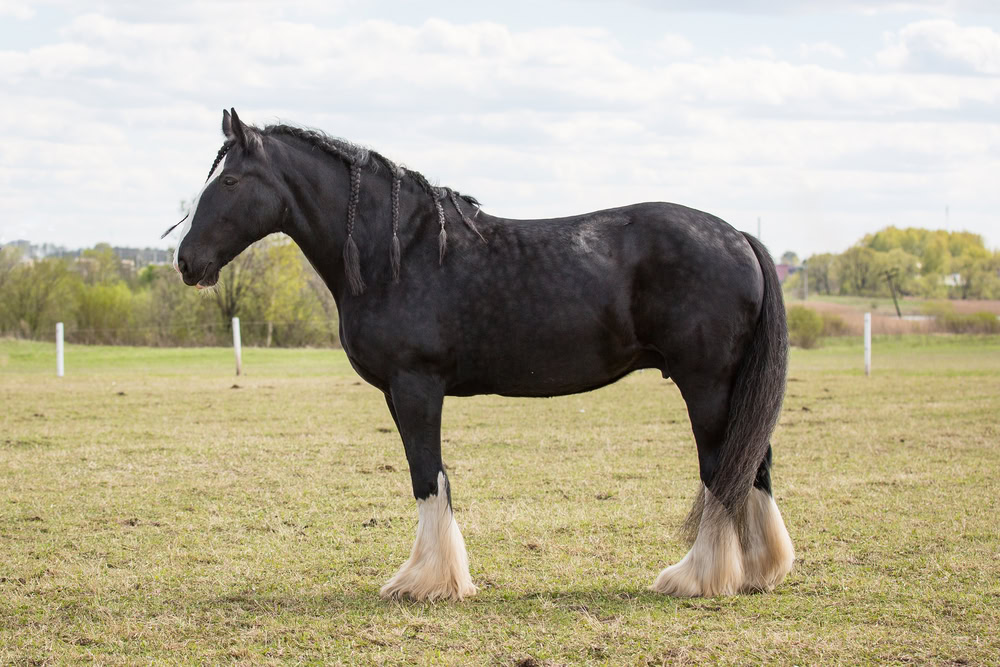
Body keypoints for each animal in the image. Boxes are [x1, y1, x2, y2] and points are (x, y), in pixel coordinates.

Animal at [171, 108, 794, 601]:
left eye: (230, 181)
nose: (186, 261)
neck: (398, 252)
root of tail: (739, 236)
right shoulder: (401, 392)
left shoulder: (416, 386)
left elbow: (427, 475)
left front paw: (427, 582)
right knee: (753, 464)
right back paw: (758, 572)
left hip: (705, 384)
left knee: (723, 470)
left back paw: (696, 577)